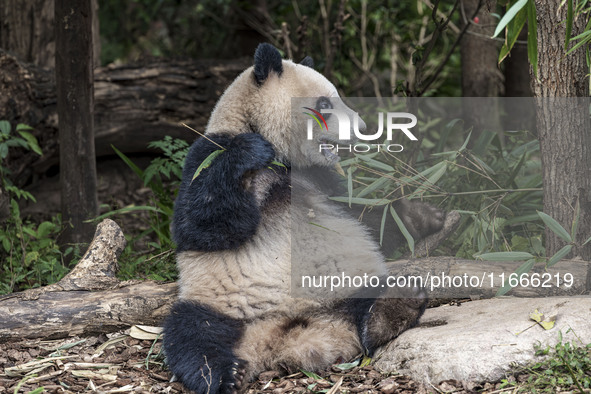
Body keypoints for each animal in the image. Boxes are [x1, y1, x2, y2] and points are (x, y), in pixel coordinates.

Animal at [163, 43, 444, 394]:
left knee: (369, 300)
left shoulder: (321, 179)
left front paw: (422, 217)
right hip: (216, 304)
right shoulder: (208, 155)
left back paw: (393, 307)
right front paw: (250, 150)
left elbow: (365, 217)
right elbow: (202, 225)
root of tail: (285, 338)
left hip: (347, 286)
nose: (362, 128)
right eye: (324, 104)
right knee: (192, 333)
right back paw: (226, 374)